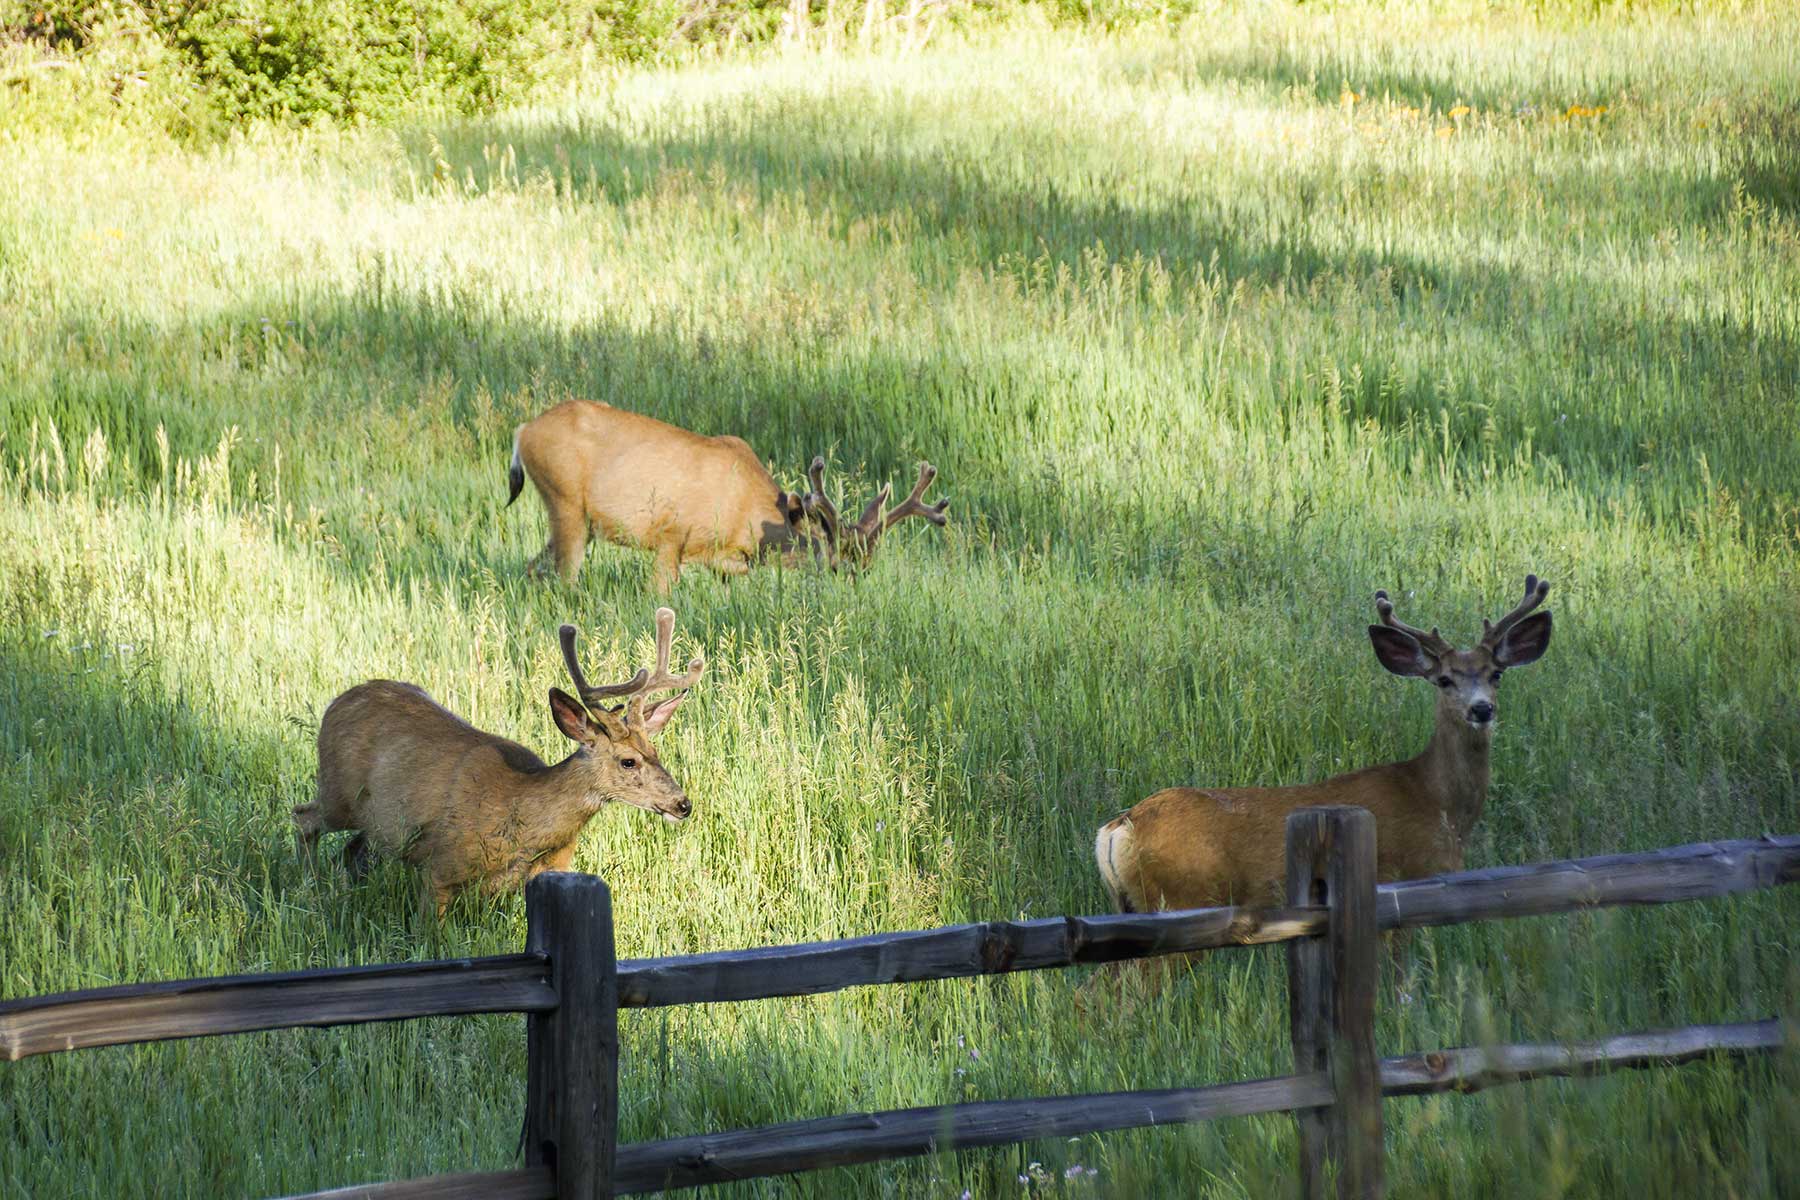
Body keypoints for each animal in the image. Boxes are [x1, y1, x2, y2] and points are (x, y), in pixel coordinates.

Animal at [294, 607, 705, 916]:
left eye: (656, 753)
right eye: (628, 761)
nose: (682, 804)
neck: (524, 820)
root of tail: (336, 702)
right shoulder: (439, 868)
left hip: (377, 824)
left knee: (351, 852)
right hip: (339, 793)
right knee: (304, 818)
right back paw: (311, 891)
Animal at [505, 399, 949, 593]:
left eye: (869, 567)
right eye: (837, 566)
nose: (854, 595)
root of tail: (523, 431)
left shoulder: (728, 560)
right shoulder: (671, 536)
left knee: (532, 569)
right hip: (566, 503)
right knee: (564, 579)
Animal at [1094, 576, 1553, 917]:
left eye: (1496, 674)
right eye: (1444, 680)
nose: (1481, 709)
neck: (1439, 804)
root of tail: (1118, 828)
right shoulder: (1402, 883)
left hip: (1132, 904)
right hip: (1180, 897)